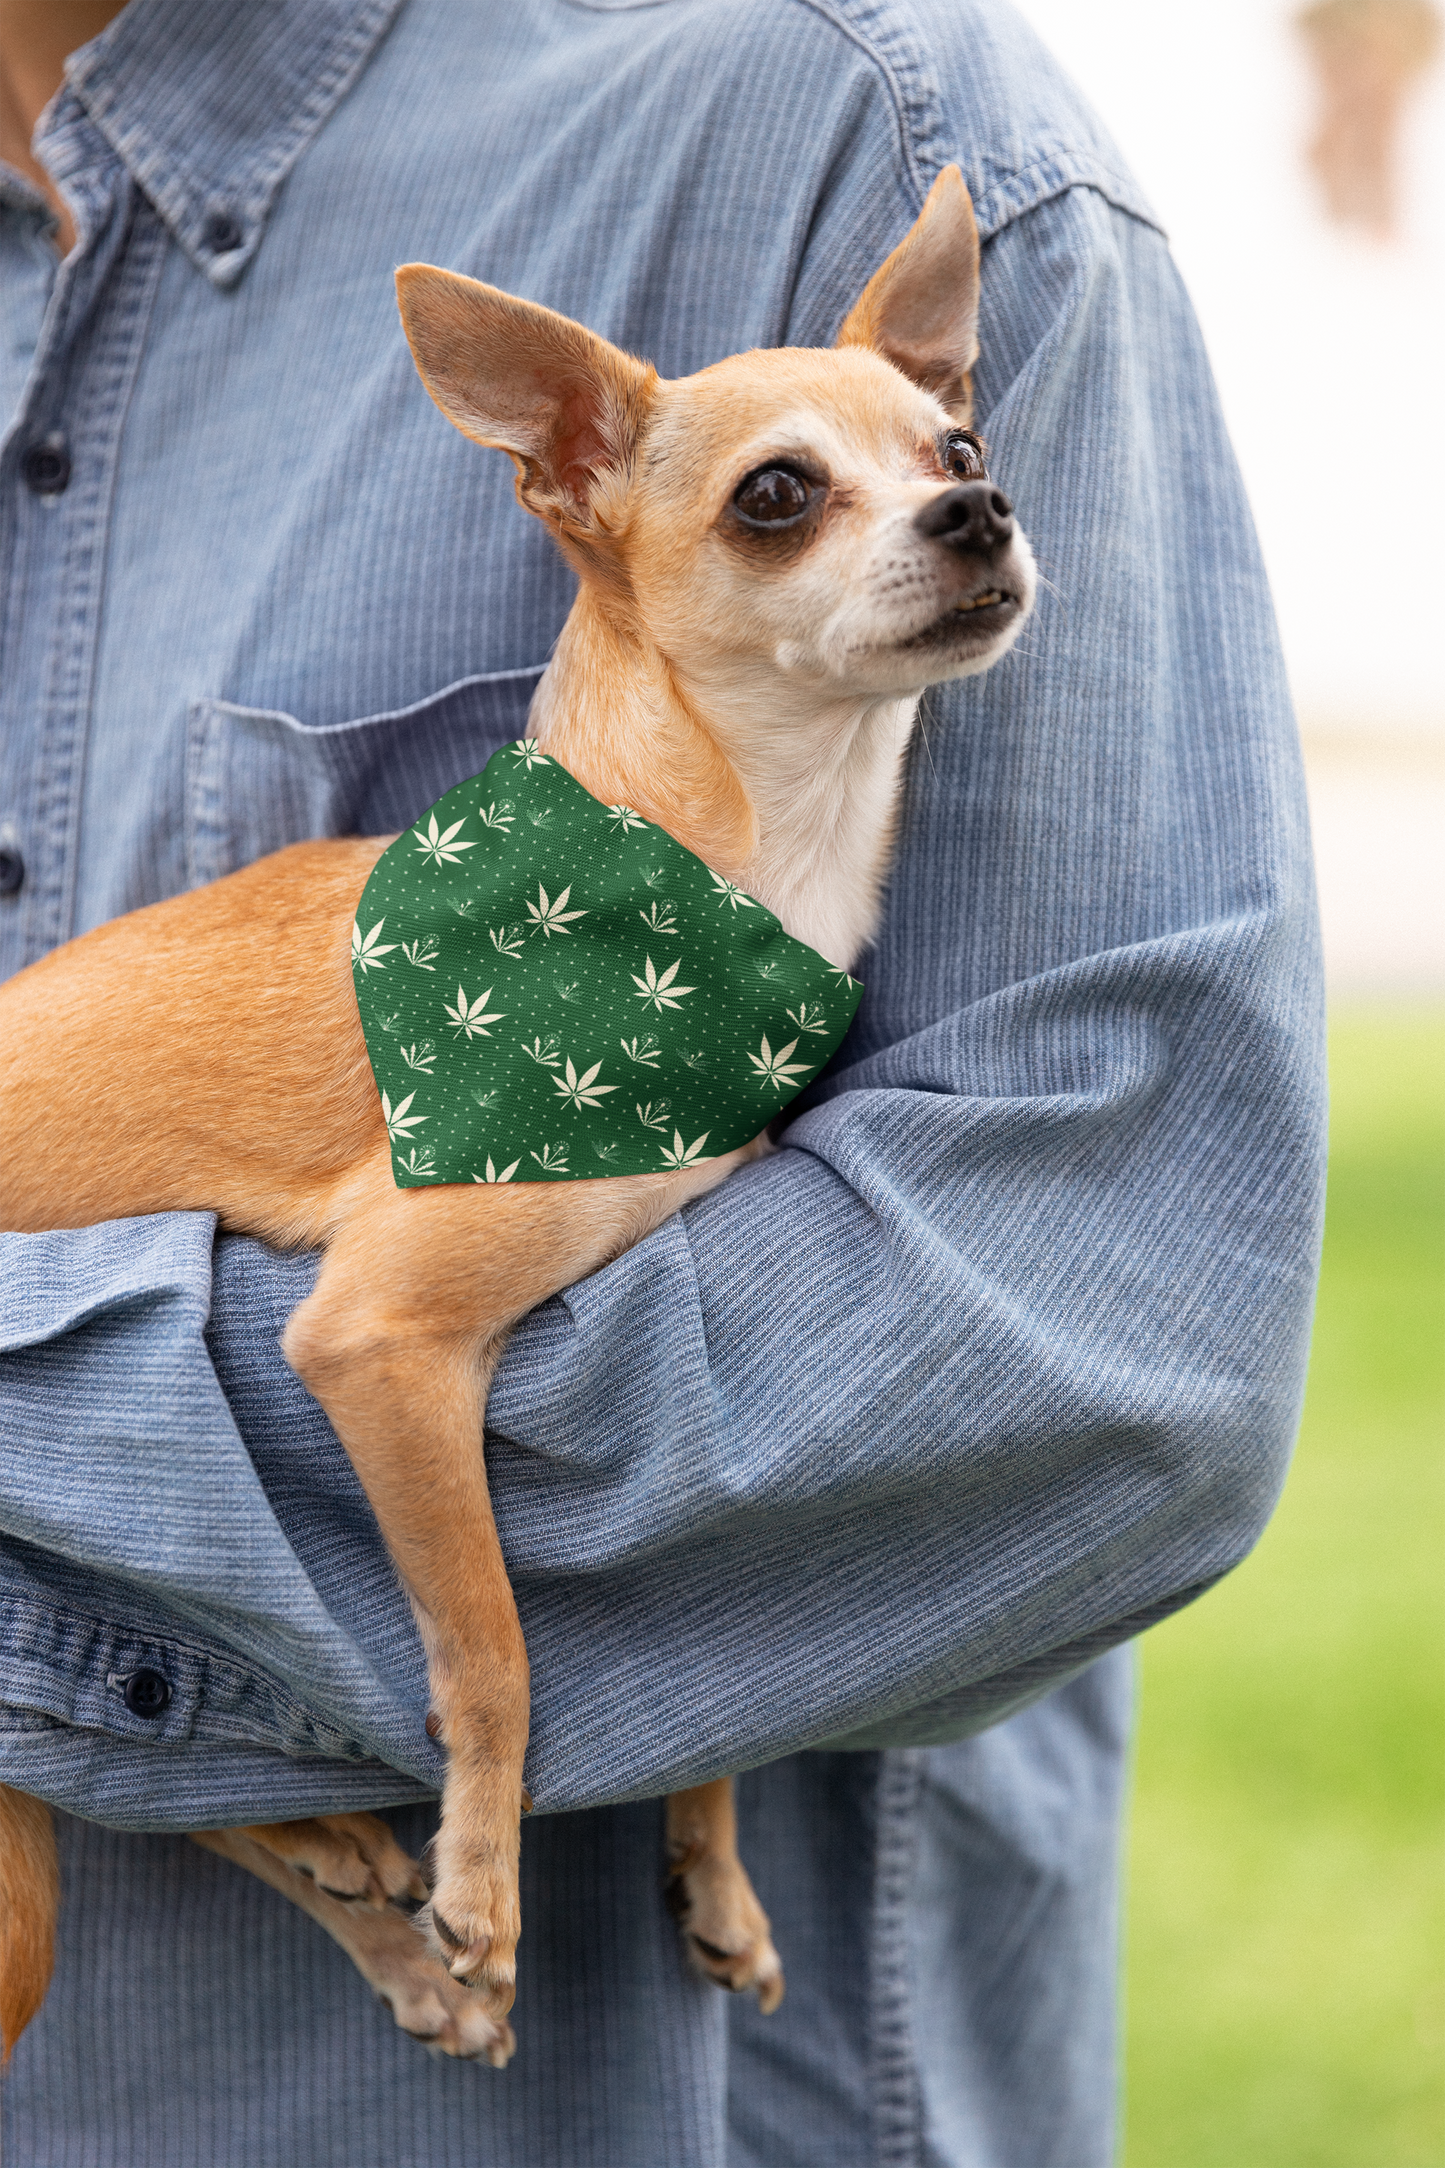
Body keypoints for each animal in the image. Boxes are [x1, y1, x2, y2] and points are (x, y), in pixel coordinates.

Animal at [0, 164, 1035, 2063]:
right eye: (778, 494)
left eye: (959, 440)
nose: (981, 509)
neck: (705, 874)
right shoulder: (380, 1342)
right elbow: (492, 1643)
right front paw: (484, 1880)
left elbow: (713, 1681)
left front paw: (704, 1864)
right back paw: (373, 1879)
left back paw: (351, 1878)